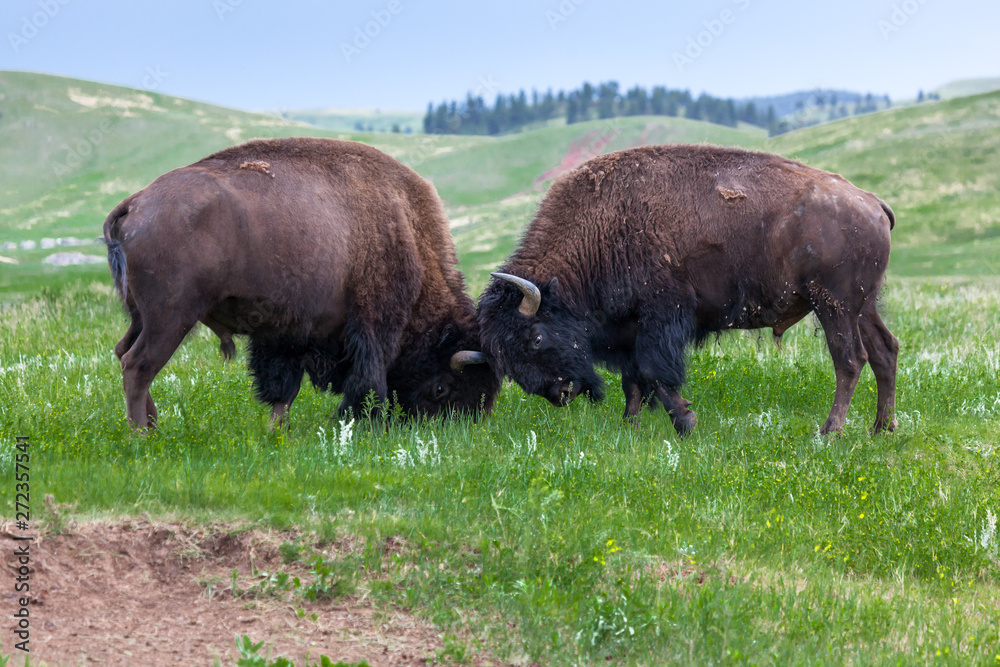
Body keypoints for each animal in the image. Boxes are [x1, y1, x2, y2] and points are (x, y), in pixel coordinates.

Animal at [103, 137, 498, 428]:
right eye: (442, 387)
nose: (454, 426)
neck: (405, 226)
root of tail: (136, 203)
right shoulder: (373, 324)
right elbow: (368, 381)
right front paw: (362, 420)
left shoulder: (289, 333)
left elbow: (283, 388)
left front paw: (277, 430)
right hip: (171, 317)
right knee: (138, 365)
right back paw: (142, 434)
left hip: (141, 316)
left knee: (123, 351)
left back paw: (153, 424)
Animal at [476, 145, 900, 438]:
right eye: (505, 359)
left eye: (534, 337)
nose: (560, 393)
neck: (601, 230)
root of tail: (871, 202)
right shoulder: (630, 328)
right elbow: (633, 379)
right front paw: (629, 426)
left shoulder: (661, 319)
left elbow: (655, 373)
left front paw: (686, 422)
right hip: (863, 307)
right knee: (885, 351)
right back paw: (881, 429)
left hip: (834, 306)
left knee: (850, 359)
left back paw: (830, 432)